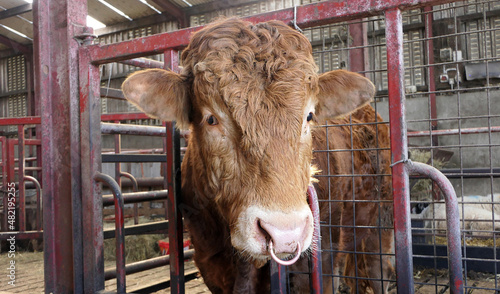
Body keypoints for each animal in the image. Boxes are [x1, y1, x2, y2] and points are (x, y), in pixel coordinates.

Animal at [122, 17, 394, 292]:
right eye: (211, 119)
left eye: (309, 116)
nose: (285, 232)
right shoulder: (210, 263)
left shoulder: (322, 262)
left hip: (380, 220)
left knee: (376, 268)